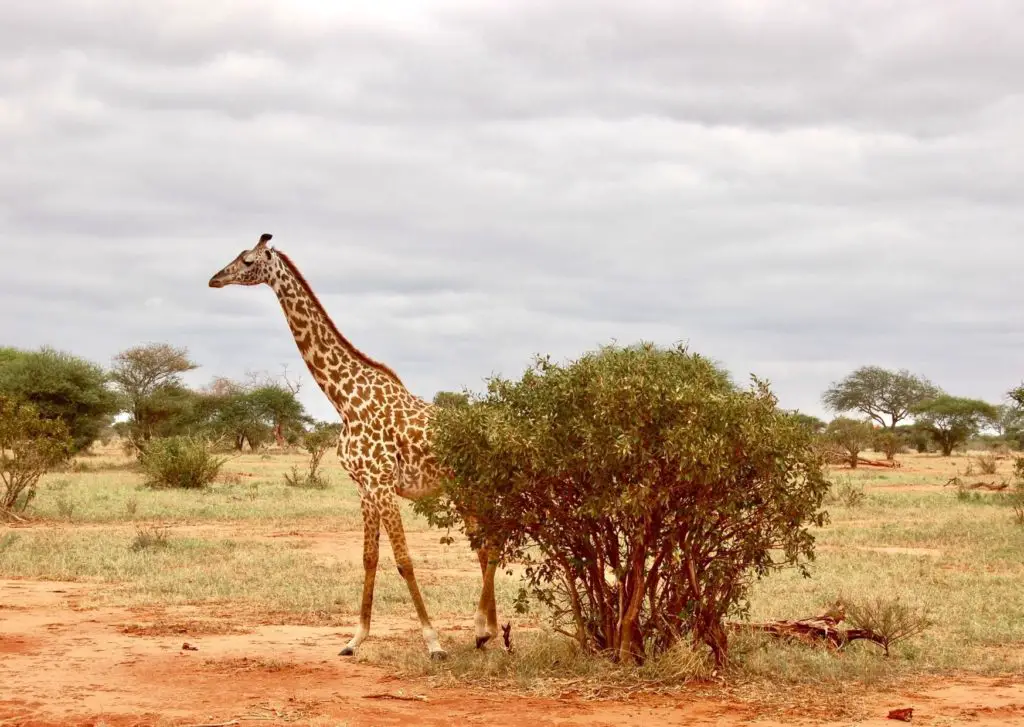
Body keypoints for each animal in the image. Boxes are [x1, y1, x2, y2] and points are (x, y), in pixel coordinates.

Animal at [205, 233, 497, 659]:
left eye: (246, 261)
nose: (215, 279)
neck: (343, 399)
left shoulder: (382, 483)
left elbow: (404, 560)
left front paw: (433, 642)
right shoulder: (363, 486)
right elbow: (369, 558)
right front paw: (355, 638)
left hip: (477, 487)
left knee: (492, 544)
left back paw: (482, 628)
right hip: (463, 490)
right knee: (485, 546)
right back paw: (489, 630)